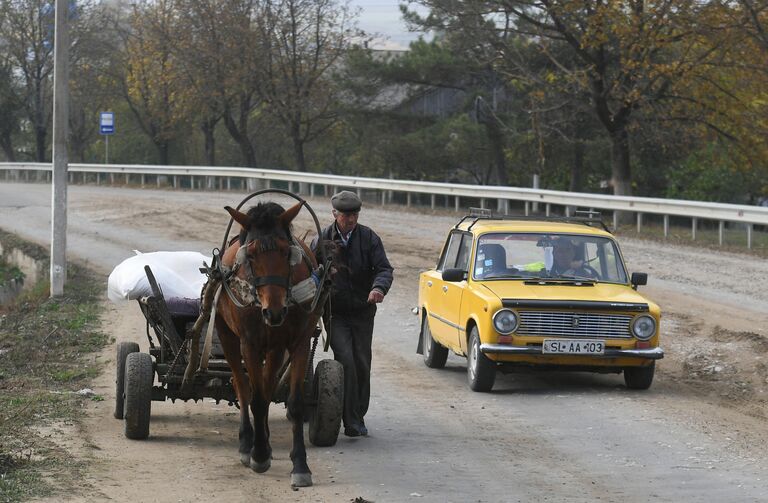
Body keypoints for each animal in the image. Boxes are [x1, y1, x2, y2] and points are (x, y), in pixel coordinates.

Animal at [214, 201, 326, 488]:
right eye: (251, 256)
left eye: (286, 252)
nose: (273, 311)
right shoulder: (250, 344)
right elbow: (255, 398)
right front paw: (258, 454)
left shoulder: (299, 341)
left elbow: (294, 403)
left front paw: (300, 465)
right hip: (227, 334)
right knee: (243, 386)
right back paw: (248, 443)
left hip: (275, 347)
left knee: (266, 383)